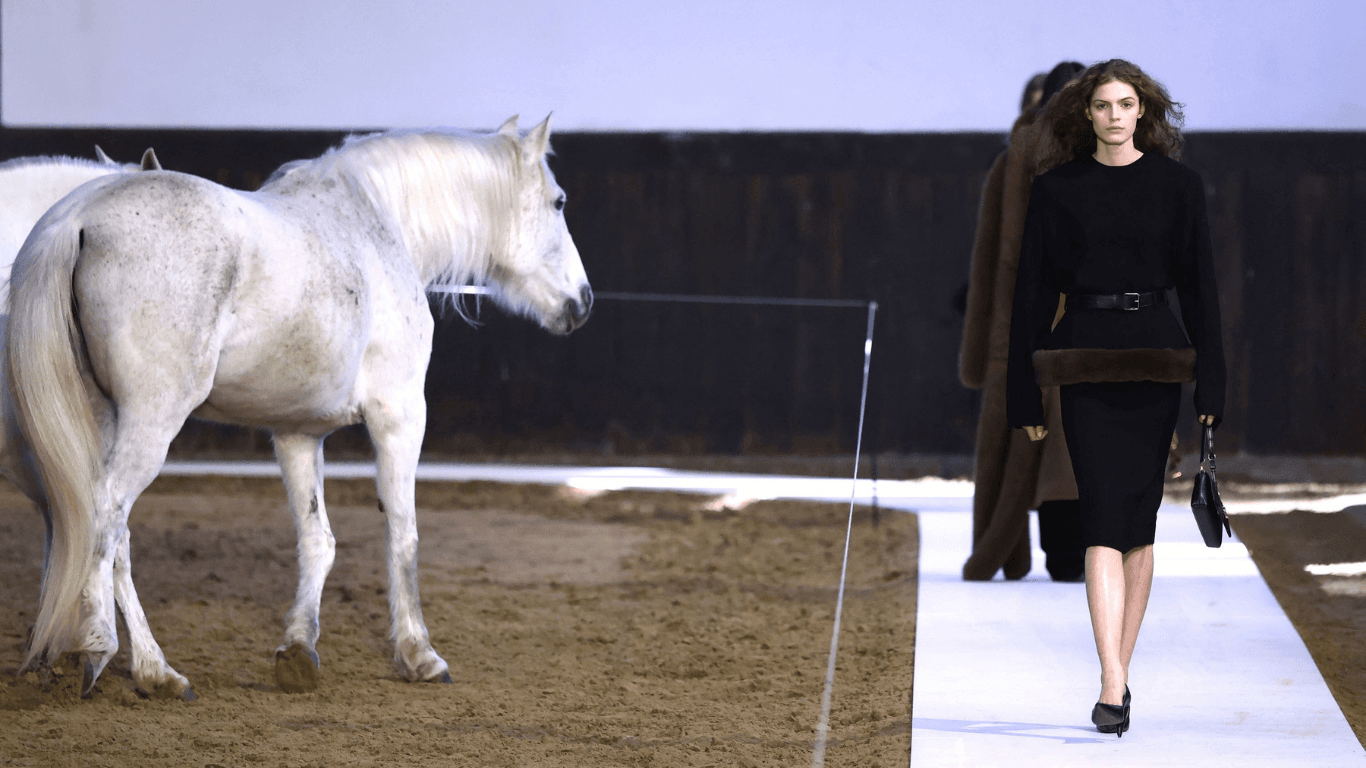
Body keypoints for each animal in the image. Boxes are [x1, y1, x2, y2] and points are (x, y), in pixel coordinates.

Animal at [8, 115, 591, 700]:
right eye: (559, 201)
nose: (582, 303)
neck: (375, 225)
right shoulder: (400, 415)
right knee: (105, 515)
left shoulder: (297, 433)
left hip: (105, 420)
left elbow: (317, 541)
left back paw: (153, 670)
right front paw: (419, 653)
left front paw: (298, 649)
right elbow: (402, 534)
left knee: (105, 529)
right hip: (151, 422)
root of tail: (77, 218)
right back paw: (101, 649)